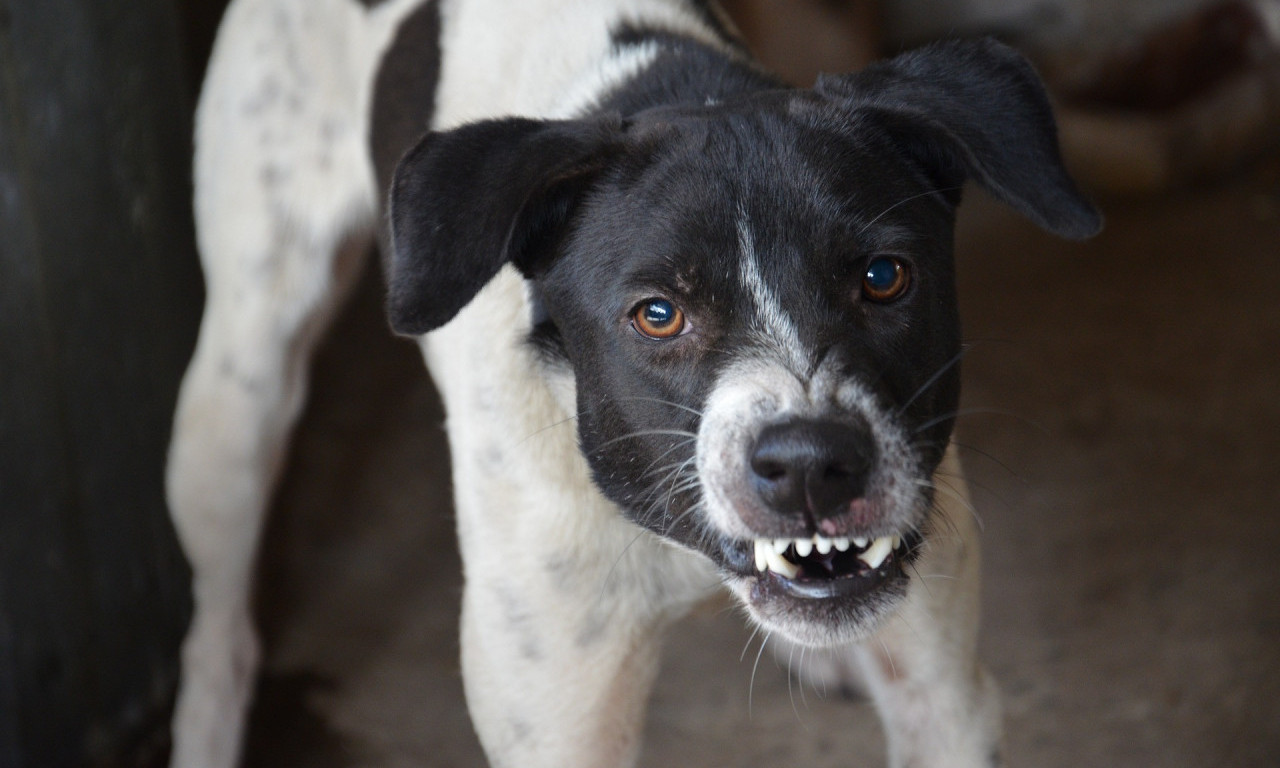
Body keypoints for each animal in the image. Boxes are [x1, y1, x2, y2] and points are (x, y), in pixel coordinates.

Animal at [162, 1, 1100, 768]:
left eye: (883, 277)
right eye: (656, 314)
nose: (810, 465)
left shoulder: (945, 699)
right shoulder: (559, 725)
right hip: (239, 388)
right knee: (218, 629)